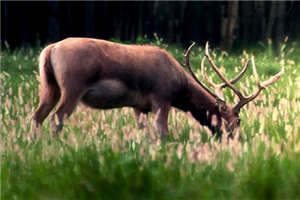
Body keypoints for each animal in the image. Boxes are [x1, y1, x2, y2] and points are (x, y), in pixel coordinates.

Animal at [32, 37, 284, 138]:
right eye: (238, 120)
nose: (237, 139)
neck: (179, 87)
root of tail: (50, 49)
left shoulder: (139, 106)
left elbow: (144, 132)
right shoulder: (162, 98)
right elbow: (163, 133)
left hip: (49, 86)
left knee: (38, 115)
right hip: (73, 86)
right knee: (57, 117)